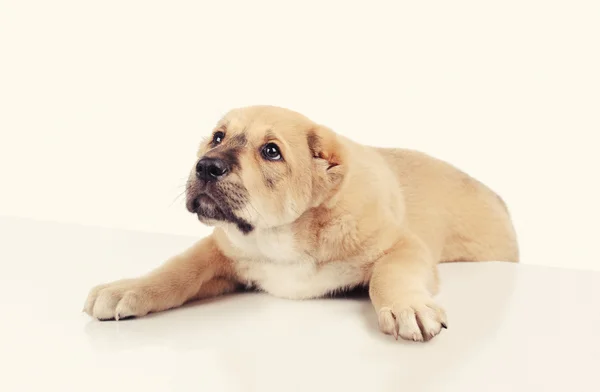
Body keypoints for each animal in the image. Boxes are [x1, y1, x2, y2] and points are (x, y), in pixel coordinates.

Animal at [82, 105, 516, 342]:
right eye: (217, 137)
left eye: (271, 152)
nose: (205, 166)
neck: (280, 238)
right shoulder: (223, 249)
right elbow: (178, 268)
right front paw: (130, 288)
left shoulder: (403, 245)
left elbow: (390, 273)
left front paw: (406, 305)